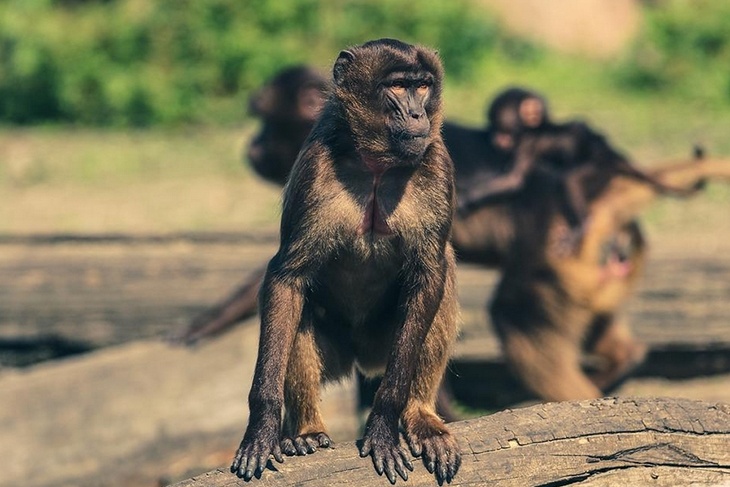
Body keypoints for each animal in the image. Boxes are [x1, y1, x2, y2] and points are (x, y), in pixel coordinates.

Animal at [232, 40, 460, 486]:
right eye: (398, 86)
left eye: (423, 86)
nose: (418, 115)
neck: (376, 165)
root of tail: (361, 358)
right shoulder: (314, 167)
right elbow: (287, 278)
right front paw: (262, 427)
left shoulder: (438, 165)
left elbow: (430, 274)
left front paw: (384, 423)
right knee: (296, 307)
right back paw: (306, 430)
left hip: (383, 344)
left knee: (442, 277)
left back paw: (421, 416)